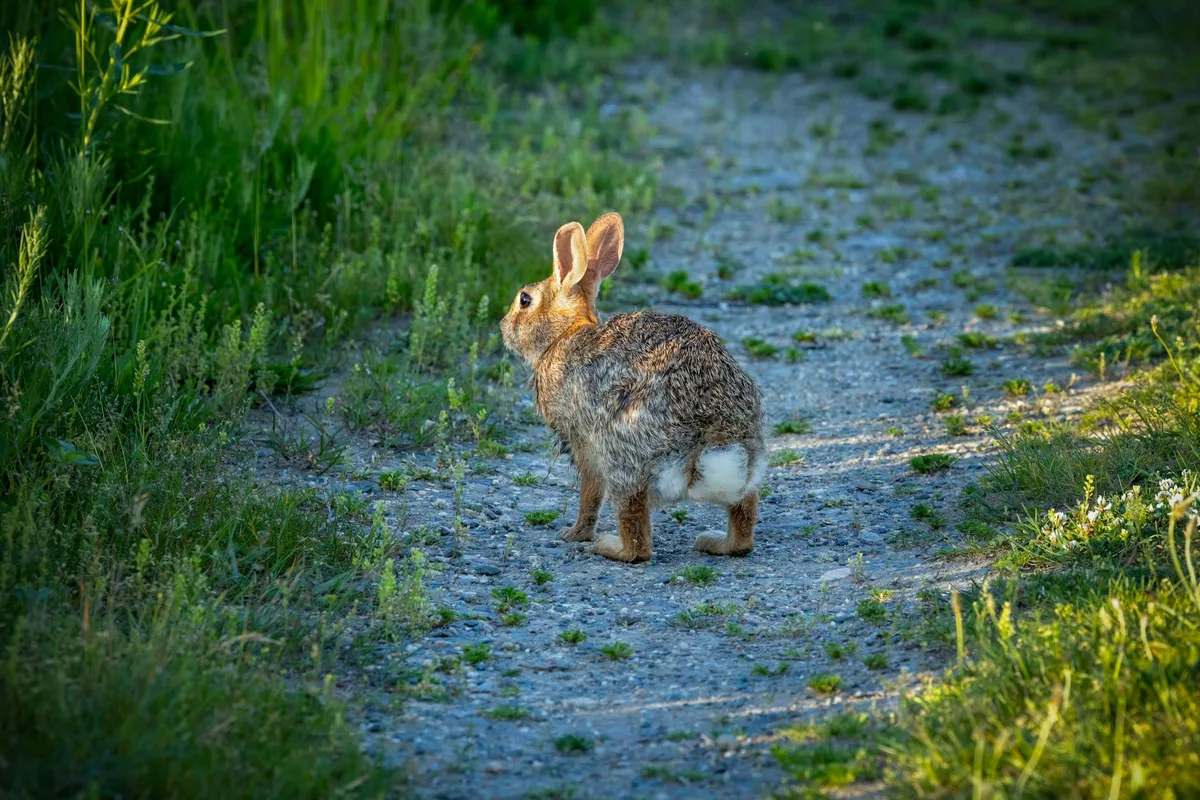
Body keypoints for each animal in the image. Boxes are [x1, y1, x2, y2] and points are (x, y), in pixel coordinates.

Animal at [500, 212, 766, 563]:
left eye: (524, 300)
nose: (503, 326)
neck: (564, 335)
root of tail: (712, 439)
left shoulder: (583, 442)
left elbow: (589, 491)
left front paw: (574, 533)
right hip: (747, 473)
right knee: (743, 525)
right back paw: (715, 542)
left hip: (622, 460)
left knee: (637, 542)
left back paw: (607, 545)